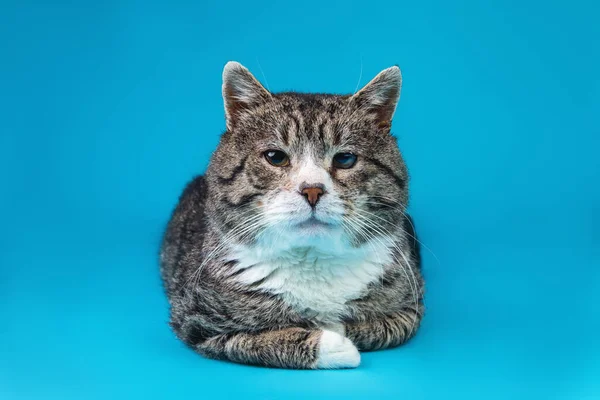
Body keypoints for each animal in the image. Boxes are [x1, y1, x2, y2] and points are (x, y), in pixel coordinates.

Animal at [158, 61, 422, 370]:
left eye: (345, 159)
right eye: (276, 157)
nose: (312, 190)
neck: (312, 259)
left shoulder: (413, 304)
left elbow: (382, 326)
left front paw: (337, 328)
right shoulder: (196, 321)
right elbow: (254, 340)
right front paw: (332, 344)